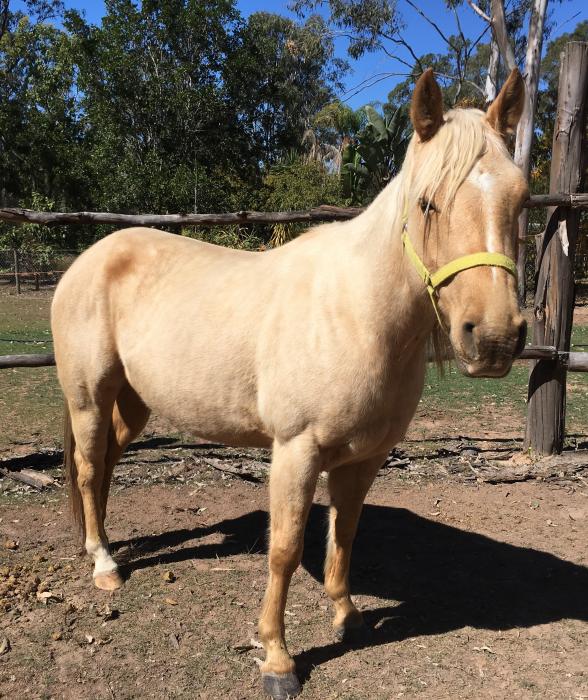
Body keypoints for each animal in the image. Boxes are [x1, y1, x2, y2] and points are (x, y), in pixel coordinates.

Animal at [51, 68, 528, 699]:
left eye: (522, 199)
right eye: (428, 202)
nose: (494, 339)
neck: (356, 313)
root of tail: (88, 259)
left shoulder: (365, 457)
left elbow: (344, 533)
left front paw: (347, 616)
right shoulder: (295, 451)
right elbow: (283, 548)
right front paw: (277, 659)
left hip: (133, 404)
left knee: (104, 464)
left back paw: (104, 546)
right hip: (89, 396)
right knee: (87, 467)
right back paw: (104, 564)